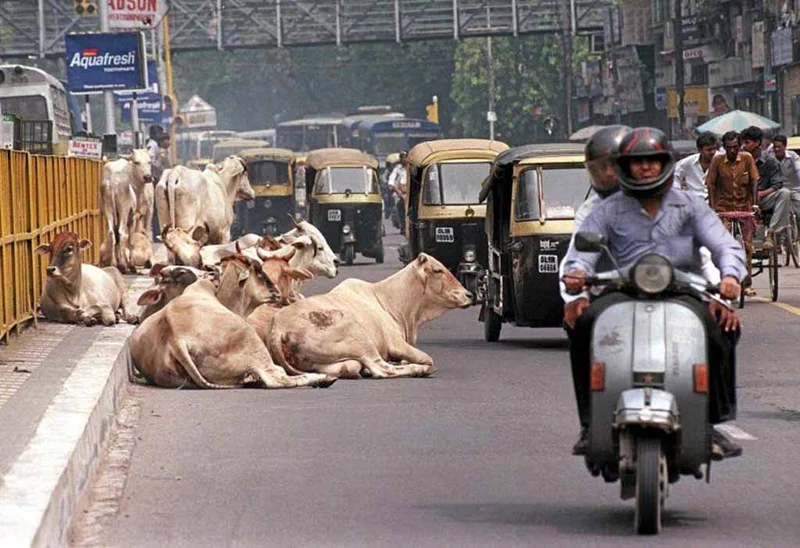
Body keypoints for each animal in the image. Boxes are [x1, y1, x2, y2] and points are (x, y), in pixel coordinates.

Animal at [266, 252, 472, 376]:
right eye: (438, 270)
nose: (468, 295)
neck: (389, 300)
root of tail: (278, 329)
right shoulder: (396, 343)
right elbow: (427, 358)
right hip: (360, 339)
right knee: (382, 369)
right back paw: (417, 369)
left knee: (350, 367)